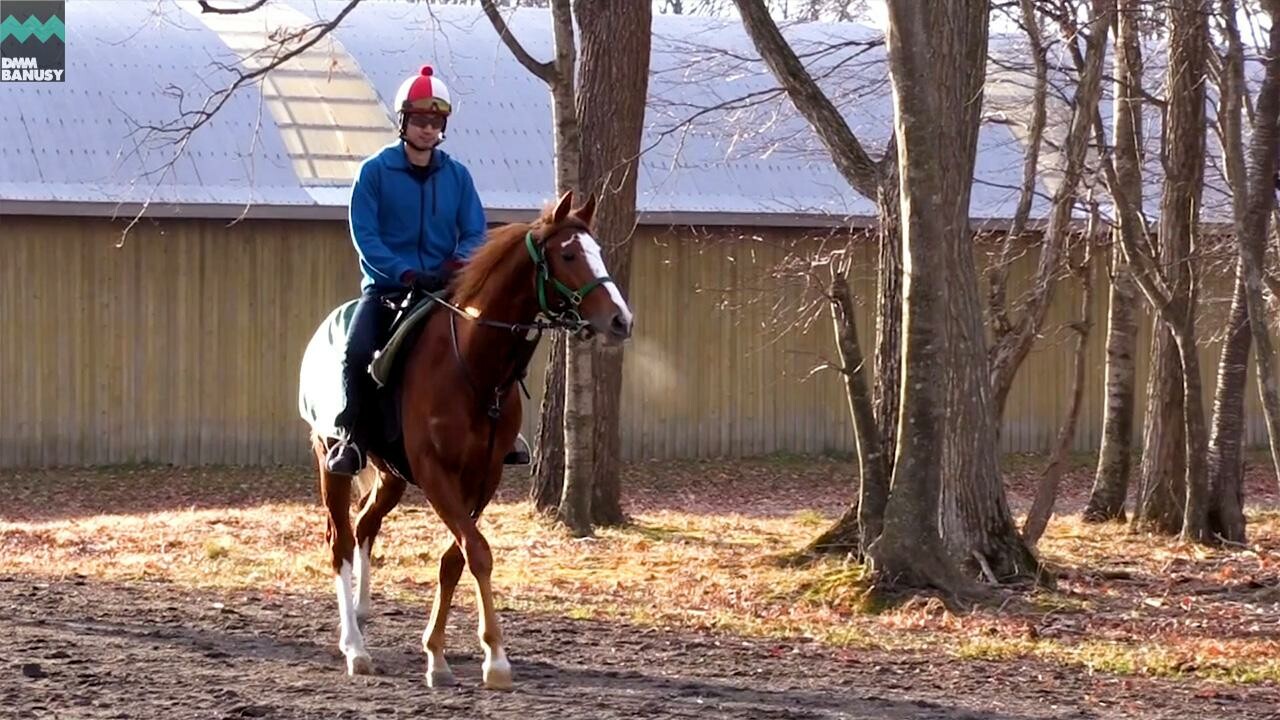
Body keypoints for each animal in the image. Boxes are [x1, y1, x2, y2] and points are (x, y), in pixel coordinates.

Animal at [304, 188, 634, 686]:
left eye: (598, 252)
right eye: (569, 254)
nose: (620, 320)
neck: (474, 366)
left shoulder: (484, 476)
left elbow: (455, 558)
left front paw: (440, 653)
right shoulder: (436, 473)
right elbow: (475, 551)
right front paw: (493, 658)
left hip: (391, 474)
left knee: (365, 525)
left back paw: (361, 613)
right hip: (333, 461)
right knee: (340, 540)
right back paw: (354, 647)